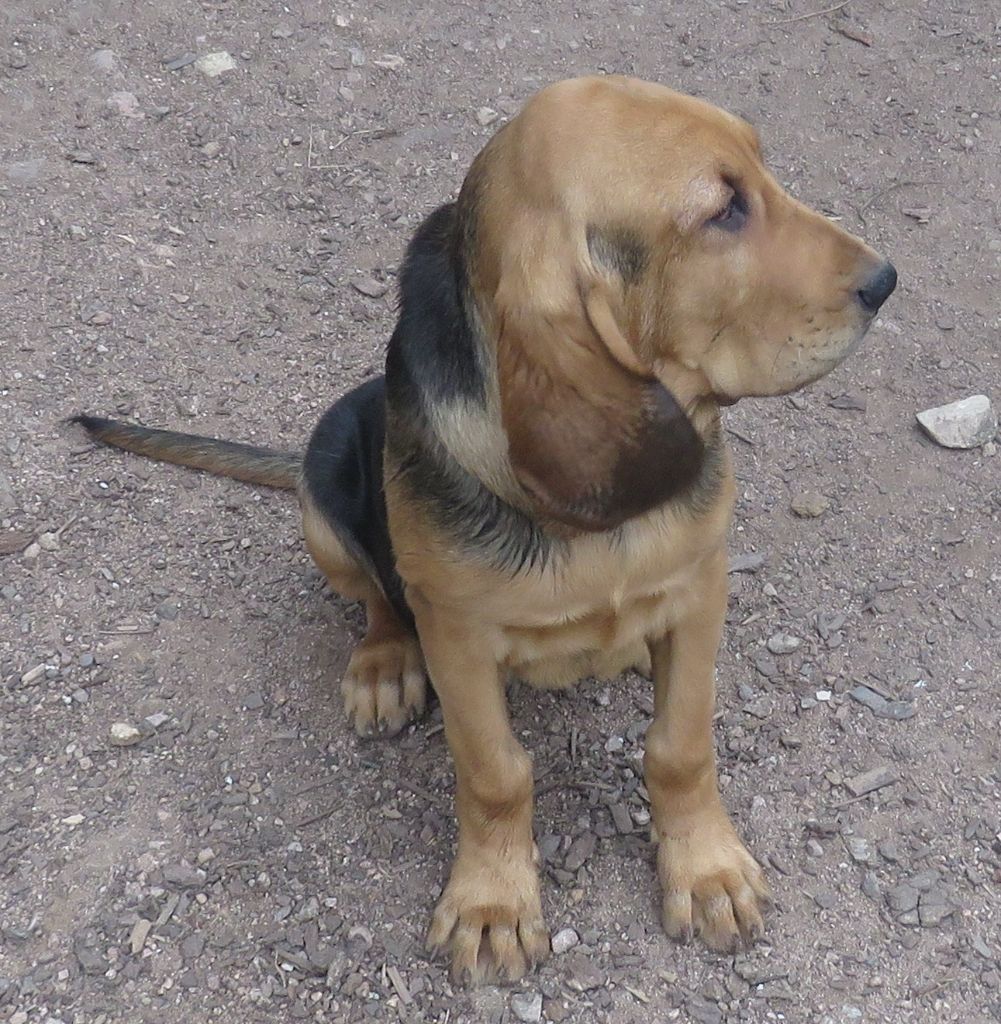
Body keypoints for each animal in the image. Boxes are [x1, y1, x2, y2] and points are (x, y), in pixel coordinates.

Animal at [72, 74, 896, 983]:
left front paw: (706, 871)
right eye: (723, 211)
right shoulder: (460, 639)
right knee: (376, 599)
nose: (885, 280)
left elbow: (679, 746)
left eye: (760, 167)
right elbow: (495, 773)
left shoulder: (698, 586)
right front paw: (493, 902)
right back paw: (383, 667)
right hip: (322, 492)